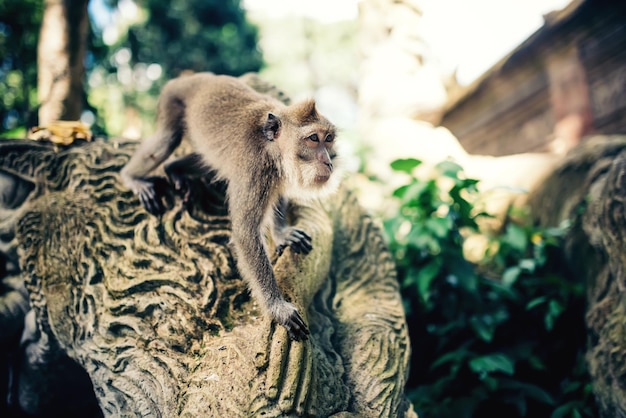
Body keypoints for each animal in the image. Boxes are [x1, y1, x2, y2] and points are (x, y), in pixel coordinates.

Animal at [119, 73, 338, 342]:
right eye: (313, 139)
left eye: (328, 139)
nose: (329, 162)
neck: (270, 146)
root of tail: (187, 78)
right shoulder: (255, 168)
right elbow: (245, 232)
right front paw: (277, 307)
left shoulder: (274, 170)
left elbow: (277, 196)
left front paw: (282, 233)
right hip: (172, 102)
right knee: (165, 141)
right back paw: (131, 177)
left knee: (209, 161)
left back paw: (174, 169)